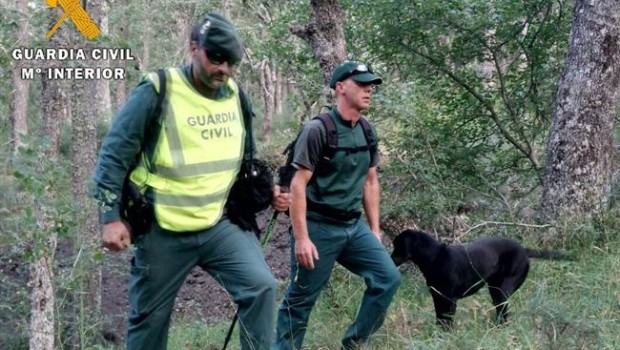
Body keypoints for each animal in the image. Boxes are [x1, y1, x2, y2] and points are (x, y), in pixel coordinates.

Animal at [392, 230, 572, 328]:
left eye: (397, 245)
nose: (390, 258)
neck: (434, 257)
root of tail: (523, 249)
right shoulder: (438, 297)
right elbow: (440, 319)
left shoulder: (450, 299)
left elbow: (447, 320)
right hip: (494, 289)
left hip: (501, 290)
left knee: (503, 314)